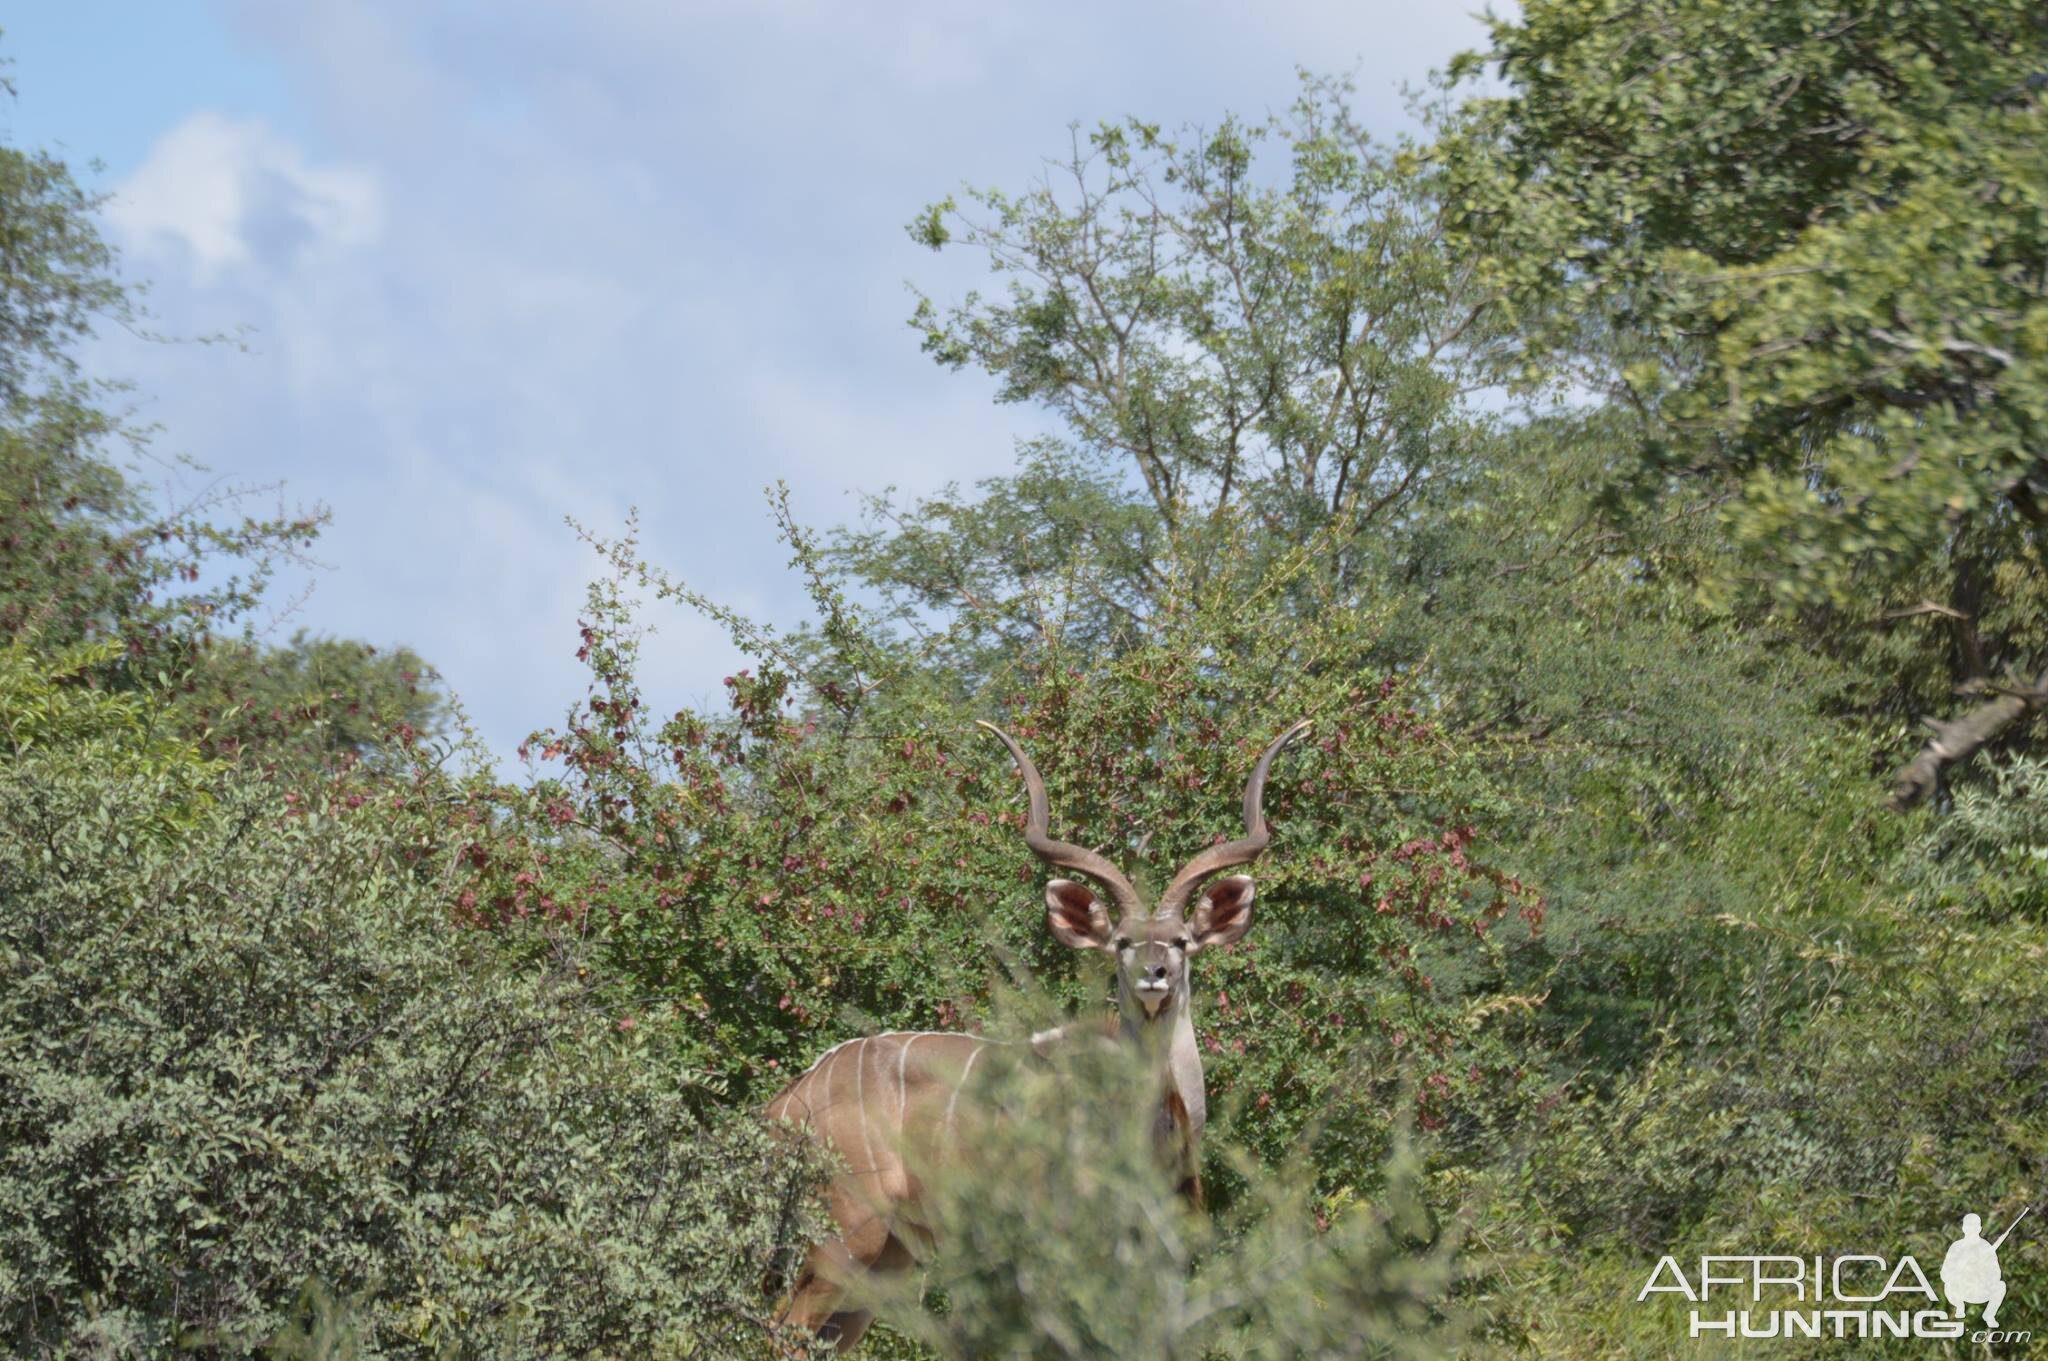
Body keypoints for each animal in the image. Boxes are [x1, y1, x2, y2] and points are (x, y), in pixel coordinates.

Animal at [761, 720, 1302, 1350]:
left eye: (1182, 942)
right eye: (1121, 941)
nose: (1153, 974)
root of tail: (788, 1101)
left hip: (883, 1268)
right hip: (844, 1240)